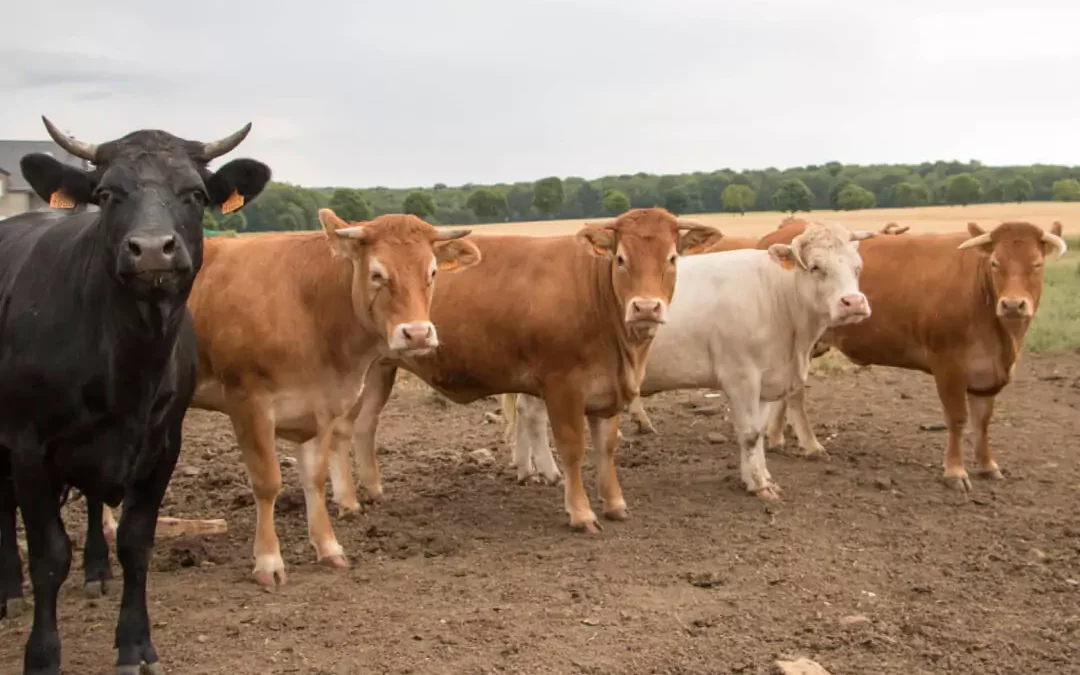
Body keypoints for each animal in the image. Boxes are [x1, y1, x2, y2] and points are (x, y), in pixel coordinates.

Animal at [0, 117, 270, 673]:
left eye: (195, 193)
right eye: (106, 194)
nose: (150, 249)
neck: (126, 365)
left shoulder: (162, 446)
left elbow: (136, 543)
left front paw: (135, 644)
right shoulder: (28, 447)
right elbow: (47, 554)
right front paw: (42, 654)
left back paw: (96, 572)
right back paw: (9, 590)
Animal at [334, 205, 725, 531]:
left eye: (672, 258)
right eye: (621, 258)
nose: (645, 308)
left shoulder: (607, 389)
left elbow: (607, 446)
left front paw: (615, 504)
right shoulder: (562, 385)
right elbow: (572, 446)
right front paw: (581, 513)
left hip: (380, 371)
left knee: (365, 425)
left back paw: (373, 490)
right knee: (340, 430)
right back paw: (348, 502)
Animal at [501, 223, 872, 496]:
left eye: (858, 268)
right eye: (816, 267)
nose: (853, 302)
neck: (779, 299)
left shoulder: (767, 377)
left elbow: (759, 433)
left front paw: (760, 477)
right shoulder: (741, 375)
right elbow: (750, 433)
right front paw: (758, 486)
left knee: (525, 410)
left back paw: (527, 469)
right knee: (533, 415)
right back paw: (549, 472)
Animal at [768, 221, 1062, 490]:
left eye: (1037, 264)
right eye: (995, 263)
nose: (1012, 304)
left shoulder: (986, 374)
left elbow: (983, 422)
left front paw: (988, 465)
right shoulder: (948, 365)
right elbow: (957, 418)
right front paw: (955, 472)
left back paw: (775, 438)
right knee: (795, 394)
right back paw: (809, 445)